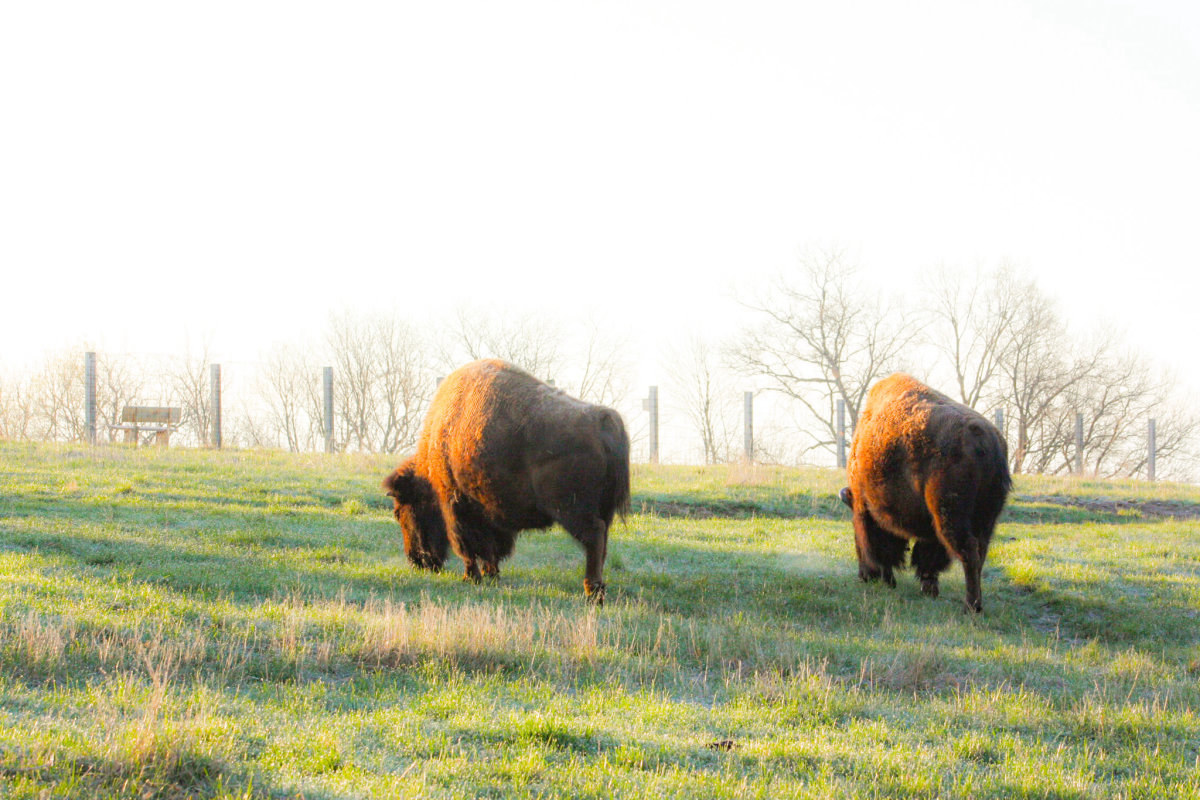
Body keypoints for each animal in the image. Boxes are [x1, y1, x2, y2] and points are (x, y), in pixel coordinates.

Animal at [383, 359, 631, 604]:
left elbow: (467, 545)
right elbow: (491, 547)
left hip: (572, 509)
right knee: (602, 541)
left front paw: (471, 577)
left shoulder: (455, 505)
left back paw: (593, 592)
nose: (416, 561)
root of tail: (603, 420)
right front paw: (491, 574)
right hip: (602, 510)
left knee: (593, 536)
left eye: (399, 512)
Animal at [840, 373, 1010, 613]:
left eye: (855, 532)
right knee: (980, 552)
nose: (864, 576)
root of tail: (984, 438)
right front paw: (929, 589)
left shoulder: (868, 510)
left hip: (949, 514)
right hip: (986, 519)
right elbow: (928, 557)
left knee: (968, 551)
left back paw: (971, 607)